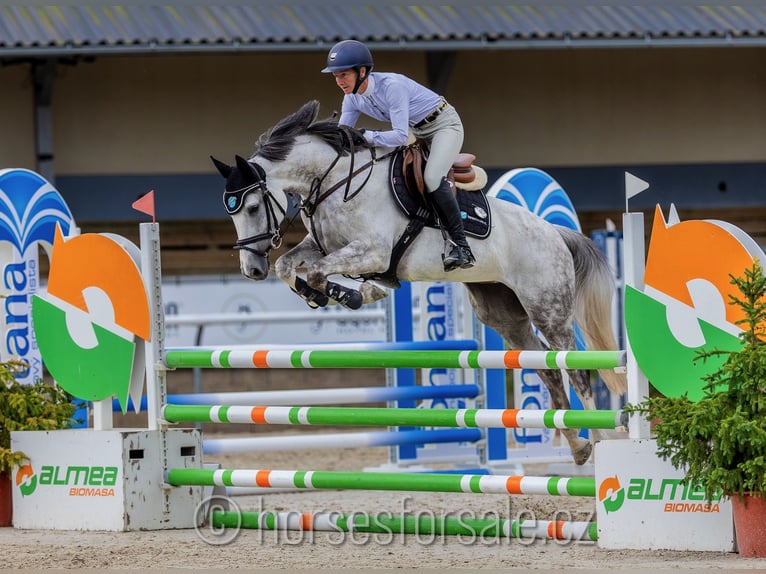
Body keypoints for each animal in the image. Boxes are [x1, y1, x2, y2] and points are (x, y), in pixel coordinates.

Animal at [213, 100, 628, 468]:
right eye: (231, 211)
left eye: (253, 207)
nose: (251, 270)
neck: (335, 180)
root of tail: (555, 232)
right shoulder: (322, 246)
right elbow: (288, 265)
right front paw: (319, 294)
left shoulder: (373, 251)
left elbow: (320, 272)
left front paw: (356, 293)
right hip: (504, 315)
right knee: (546, 369)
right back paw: (578, 449)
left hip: (548, 308)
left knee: (576, 370)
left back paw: (599, 442)